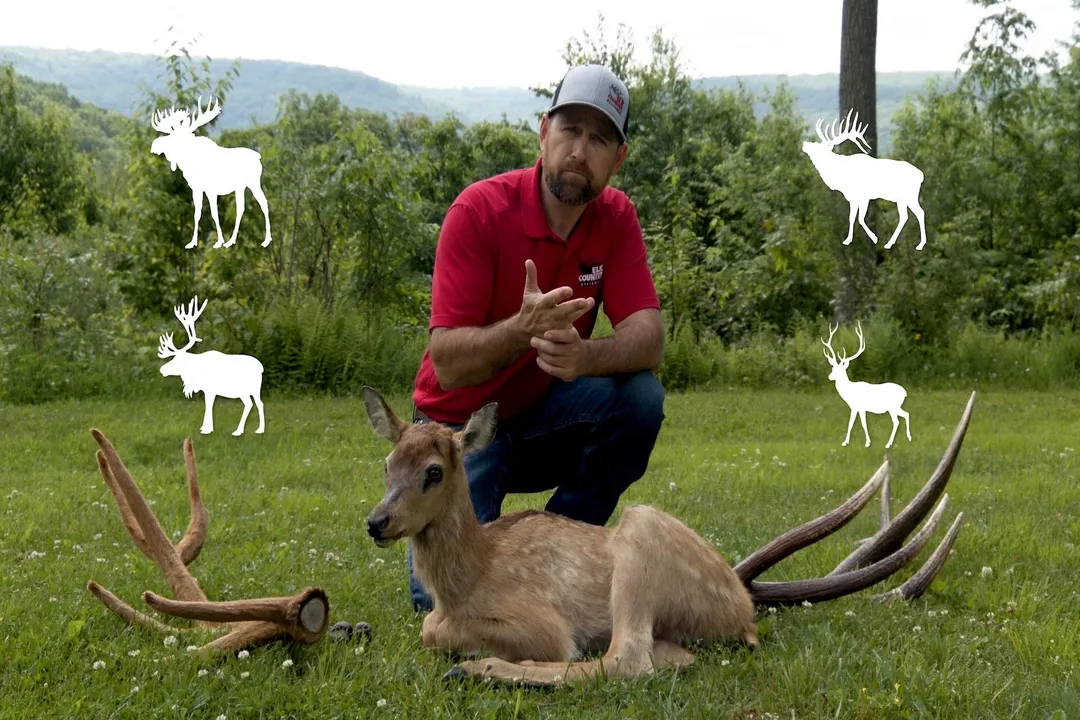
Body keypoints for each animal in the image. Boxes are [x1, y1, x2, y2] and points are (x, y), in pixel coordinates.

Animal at [150, 95, 272, 250]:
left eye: (174, 138)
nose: (154, 145)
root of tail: (258, 157)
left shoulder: (211, 190)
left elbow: (214, 214)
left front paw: (218, 241)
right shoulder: (196, 189)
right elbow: (197, 214)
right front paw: (192, 242)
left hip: (253, 182)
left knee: (263, 203)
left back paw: (265, 240)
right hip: (241, 187)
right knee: (243, 208)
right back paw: (232, 240)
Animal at [157, 296, 266, 436]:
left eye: (178, 360)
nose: (162, 369)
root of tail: (261, 368)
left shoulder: (210, 390)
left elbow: (209, 406)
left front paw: (206, 430)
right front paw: (205, 428)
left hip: (250, 389)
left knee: (254, 404)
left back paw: (247, 430)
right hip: (250, 391)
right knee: (255, 404)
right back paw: (251, 430)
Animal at [359, 385, 974, 687]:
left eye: (433, 471)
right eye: (387, 463)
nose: (376, 522)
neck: (469, 575)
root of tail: (744, 600)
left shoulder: (540, 622)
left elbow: (435, 631)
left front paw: (477, 655)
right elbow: (431, 626)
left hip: (641, 538)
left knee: (628, 661)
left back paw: (486, 671)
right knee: (669, 660)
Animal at [801, 109, 927, 250]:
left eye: (817, 146)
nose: (804, 144)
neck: (839, 176)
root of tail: (921, 175)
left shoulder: (863, 196)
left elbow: (860, 218)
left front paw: (874, 238)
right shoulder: (854, 198)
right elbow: (852, 218)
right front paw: (848, 240)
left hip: (909, 196)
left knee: (918, 213)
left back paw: (918, 244)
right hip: (903, 199)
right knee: (906, 216)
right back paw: (891, 243)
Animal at [821, 321, 912, 449]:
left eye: (840, 371)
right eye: (833, 368)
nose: (830, 377)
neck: (850, 392)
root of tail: (904, 393)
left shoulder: (861, 407)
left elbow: (863, 424)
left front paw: (867, 443)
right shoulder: (854, 407)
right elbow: (850, 423)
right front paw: (845, 442)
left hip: (892, 407)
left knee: (897, 421)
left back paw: (888, 444)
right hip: (896, 407)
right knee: (906, 414)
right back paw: (908, 437)